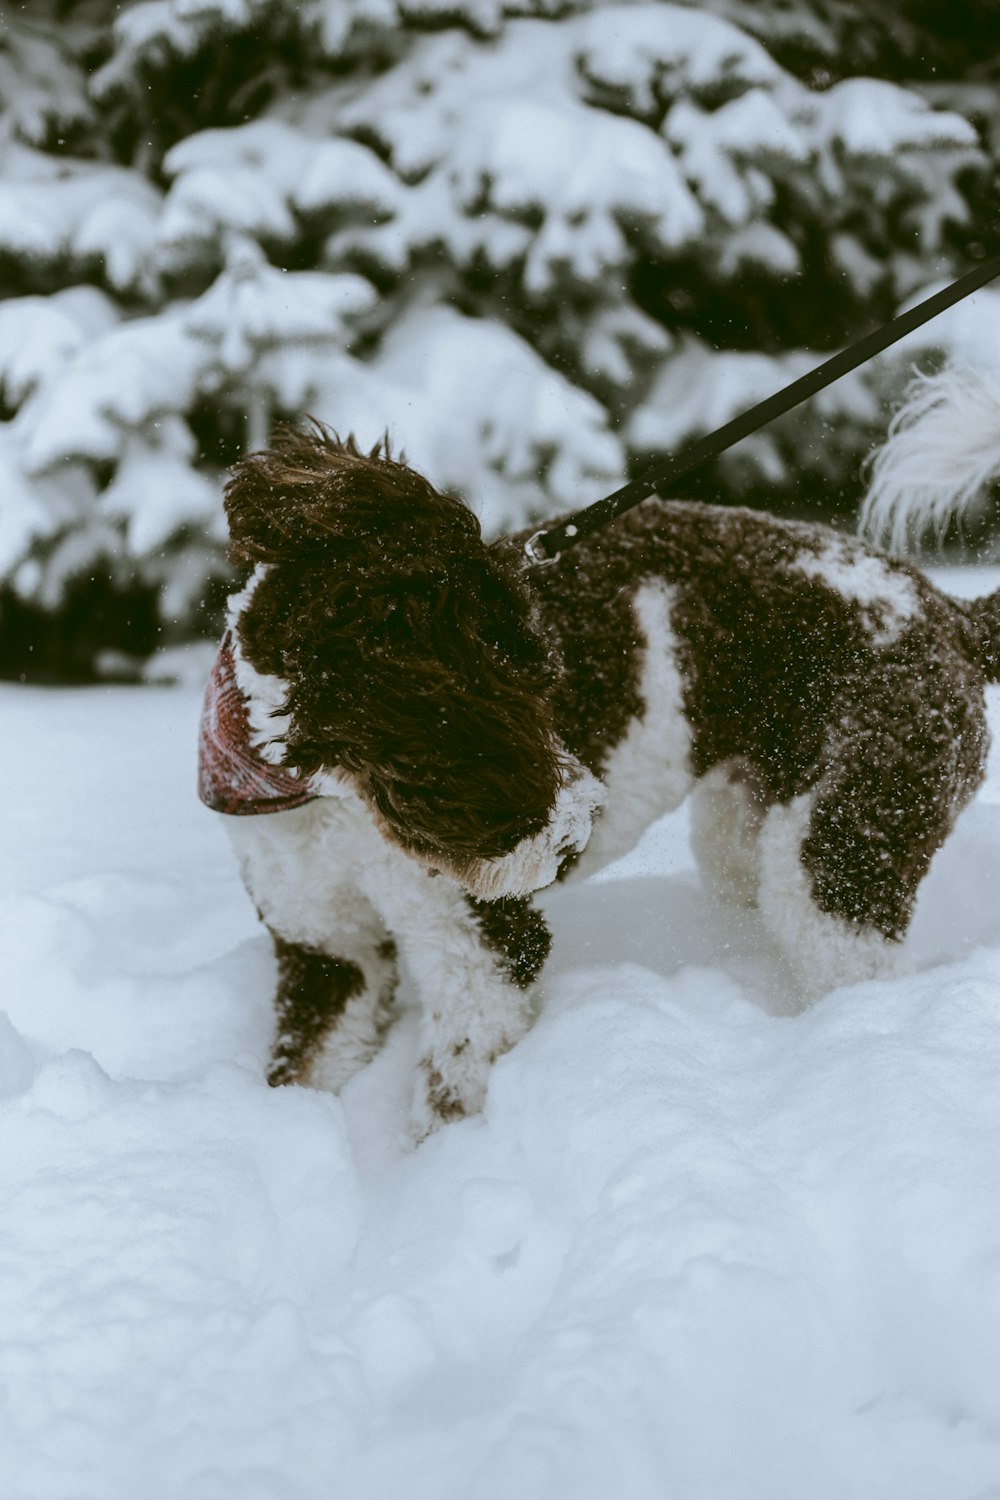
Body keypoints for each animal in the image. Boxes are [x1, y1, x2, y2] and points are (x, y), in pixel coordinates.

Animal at [199, 414, 1000, 1134]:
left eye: (543, 675)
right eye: (447, 709)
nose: (570, 833)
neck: (310, 798)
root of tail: (948, 612)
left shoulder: (483, 951)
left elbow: (449, 1094)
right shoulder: (330, 950)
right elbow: (305, 1068)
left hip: (845, 840)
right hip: (745, 829)